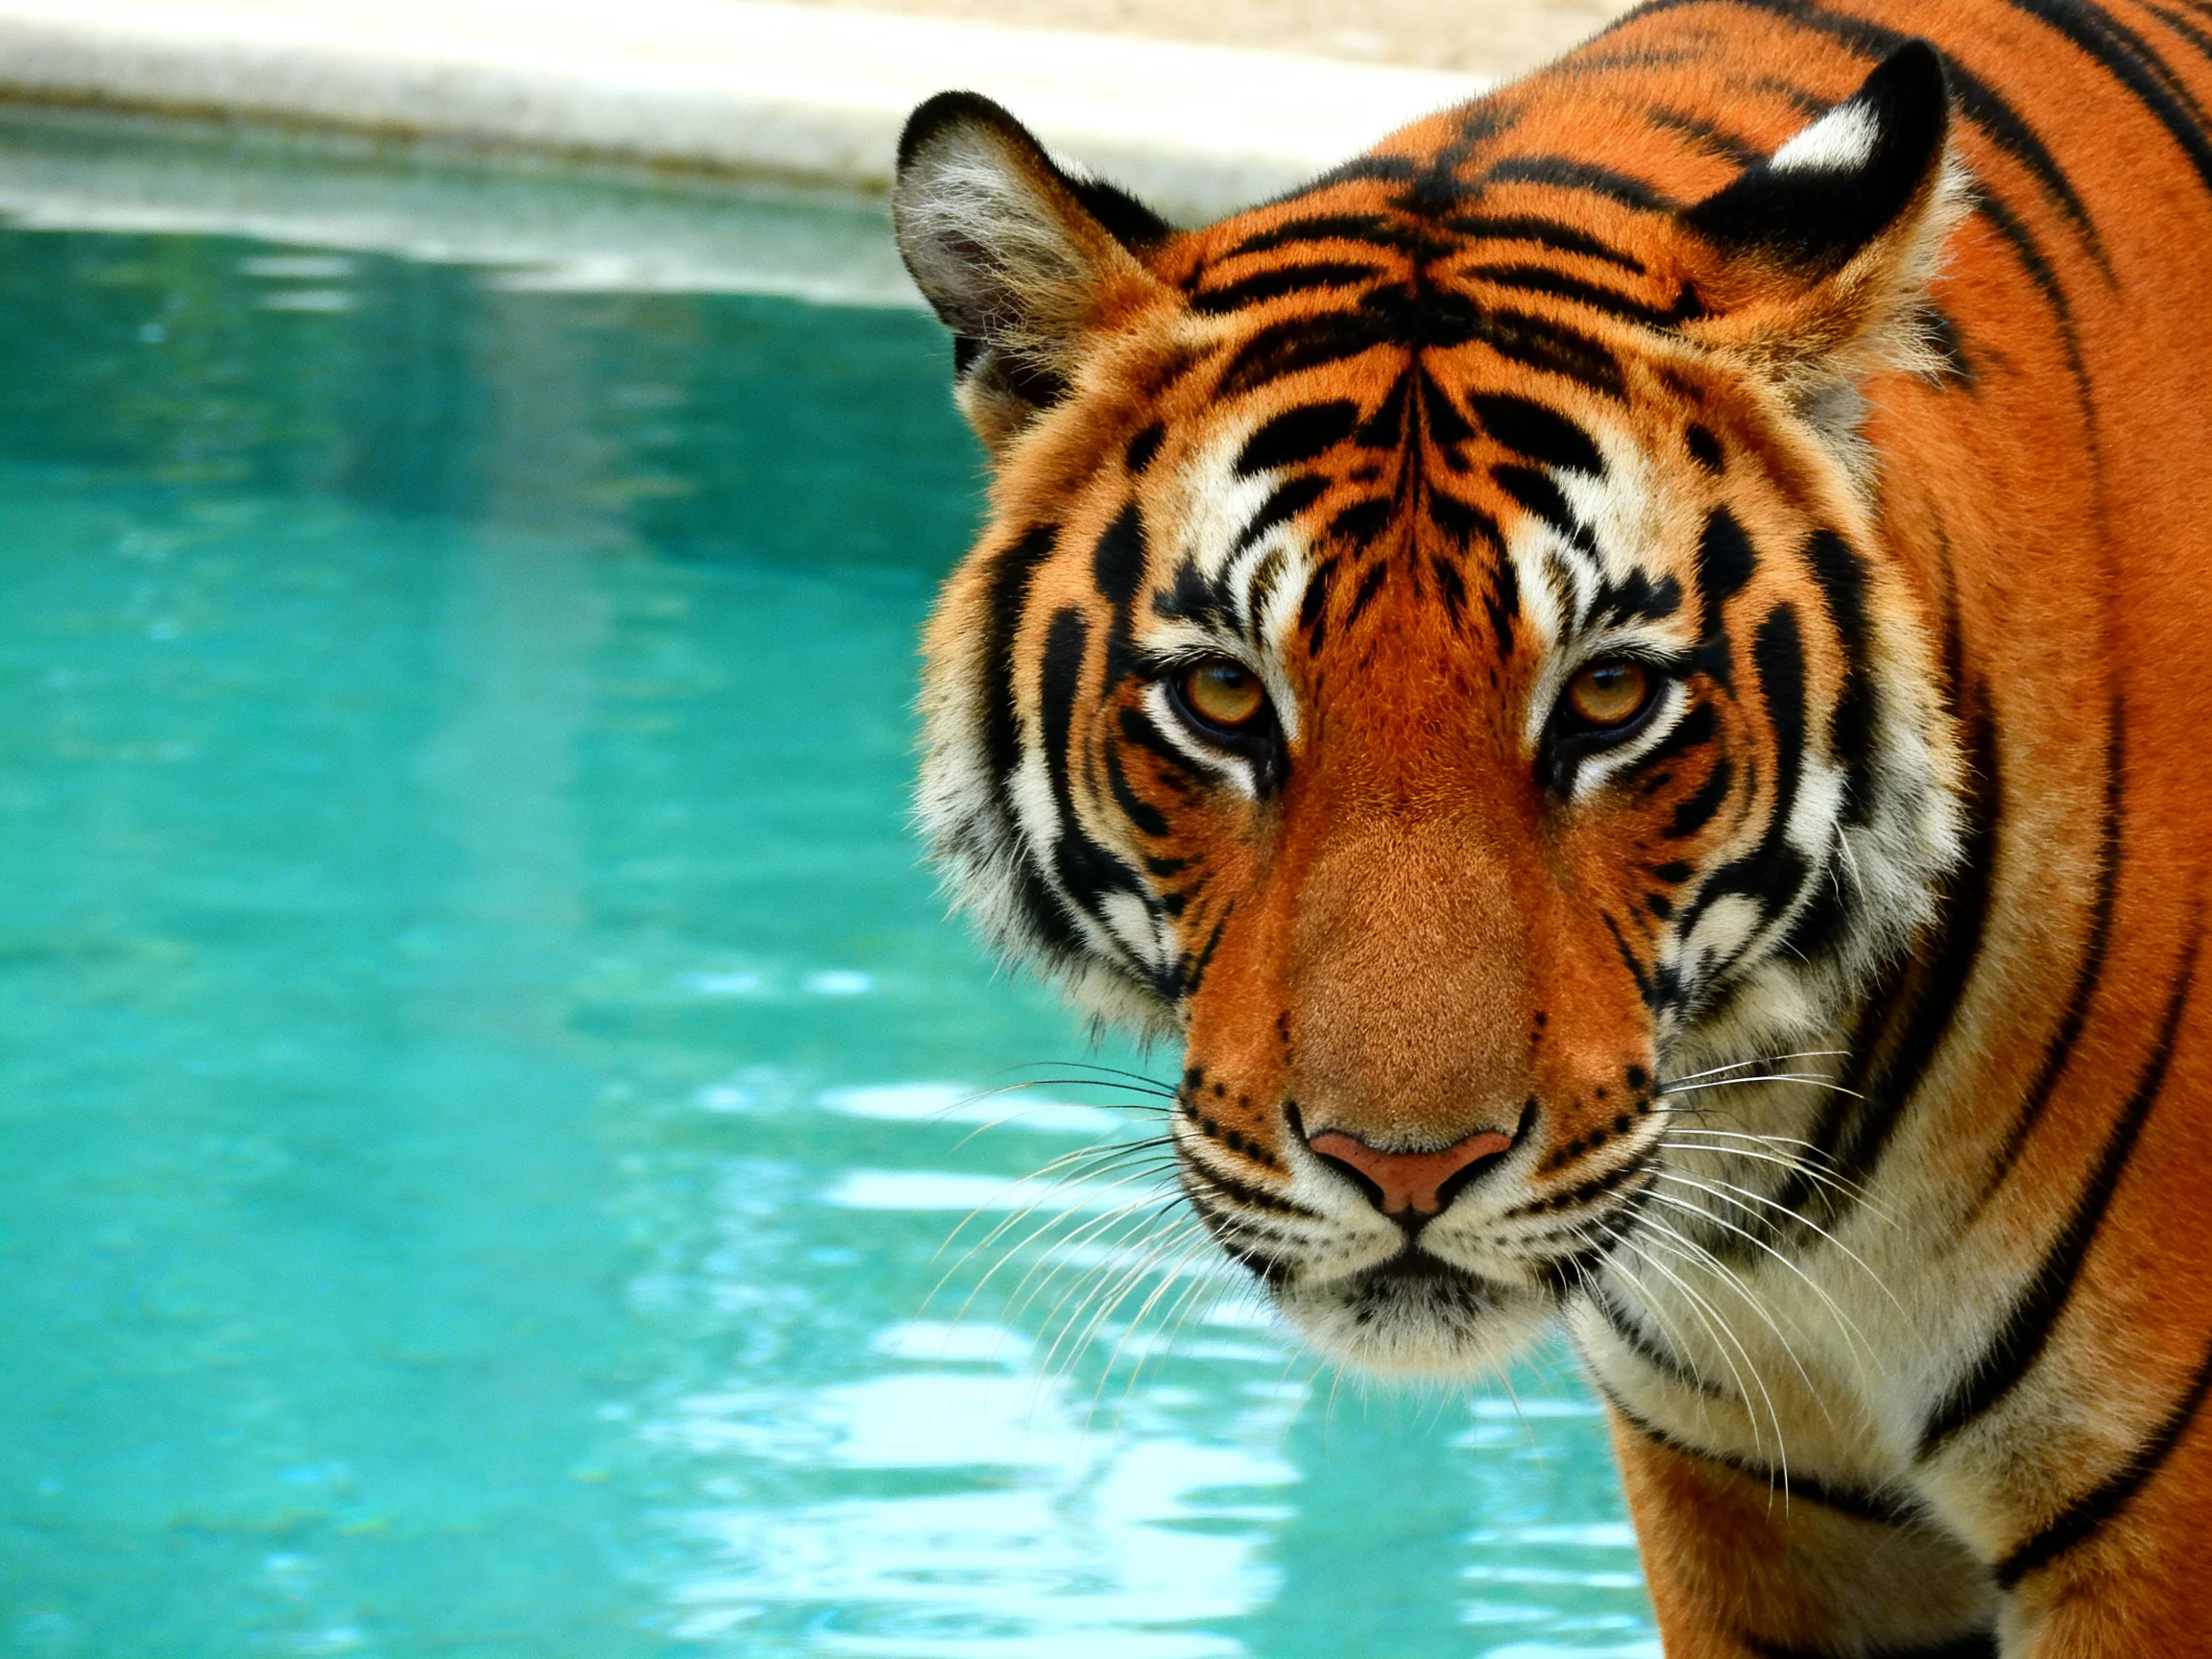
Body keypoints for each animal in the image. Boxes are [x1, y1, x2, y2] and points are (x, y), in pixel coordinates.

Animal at [888, 0, 2212, 1650]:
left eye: (1607, 698)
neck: (1774, 1169)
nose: (1406, 1173)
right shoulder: (1753, 1498)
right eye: (1223, 696)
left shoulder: (2149, 1529)